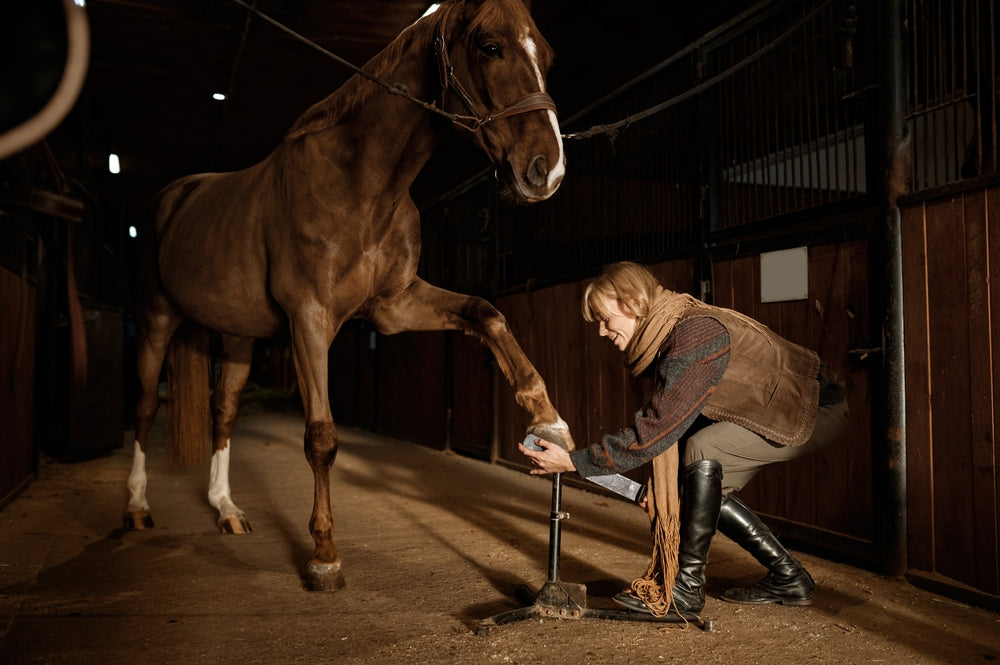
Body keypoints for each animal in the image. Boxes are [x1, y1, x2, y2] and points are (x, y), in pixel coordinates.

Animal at [124, 0, 574, 592]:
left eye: (547, 53)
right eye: (490, 47)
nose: (548, 170)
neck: (359, 185)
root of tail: (177, 195)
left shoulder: (397, 306)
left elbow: (487, 314)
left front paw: (547, 419)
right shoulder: (309, 320)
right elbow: (321, 437)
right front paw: (324, 555)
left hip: (237, 337)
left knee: (223, 412)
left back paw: (226, 509)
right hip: (157, 319)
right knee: (145, 405)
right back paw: (136, 507)